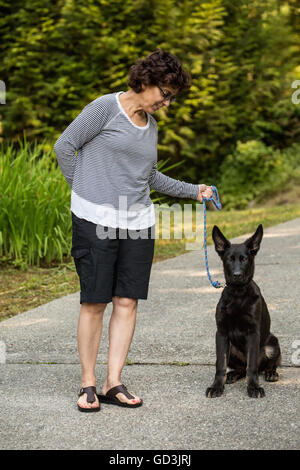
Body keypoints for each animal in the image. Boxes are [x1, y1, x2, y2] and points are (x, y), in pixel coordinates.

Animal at [206, 226, 282, 398]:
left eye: (245, 259)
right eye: (229, 259)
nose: (237, 275)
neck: (238, 294)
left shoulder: (253, 333)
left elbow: (251, 365)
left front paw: (253, 387)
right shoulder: (221, 333)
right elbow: (220, 365)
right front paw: (216, 386)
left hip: (272, 343)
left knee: (267, 364)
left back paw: (271, 373)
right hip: (232, 349)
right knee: (240, 367)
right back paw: (232, 374)